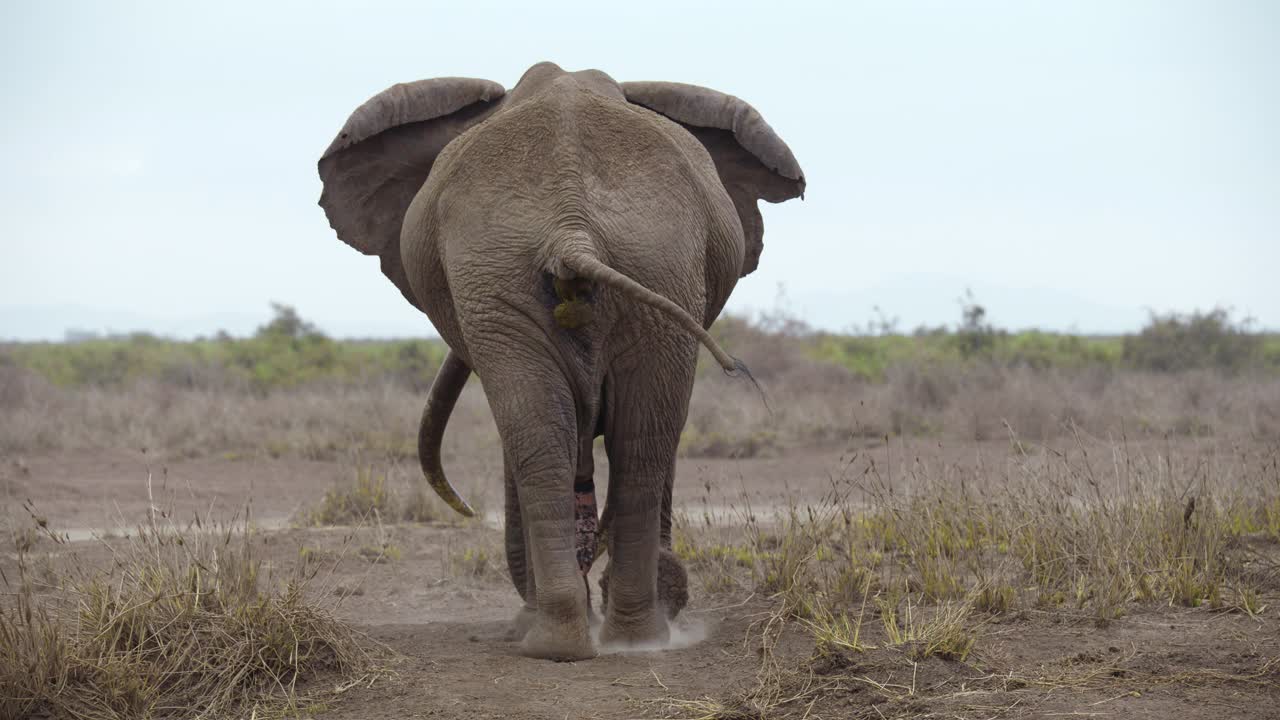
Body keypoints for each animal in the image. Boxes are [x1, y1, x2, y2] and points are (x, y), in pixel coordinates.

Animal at [317, 60, 798, 655]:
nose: (464, 508)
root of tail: (572, 229)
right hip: (597, 270)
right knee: (608, 439)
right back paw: (605, 639)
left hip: (616, 267)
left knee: (590, 438)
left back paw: (577, 639)